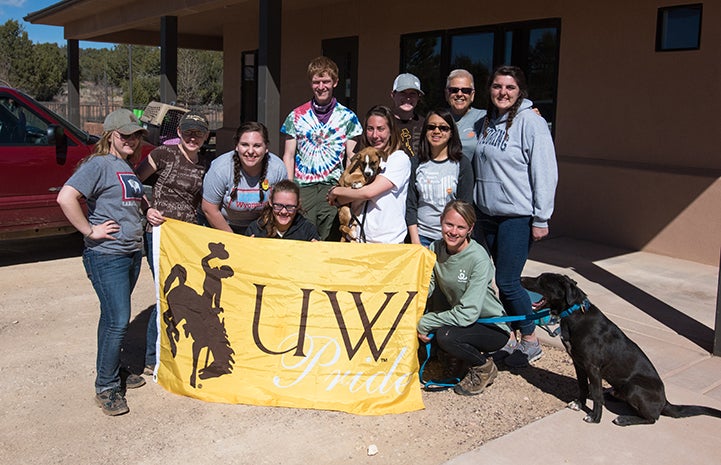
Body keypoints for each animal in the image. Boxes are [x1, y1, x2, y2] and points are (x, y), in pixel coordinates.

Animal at [524, 274, 720, 426]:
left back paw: (624, 419)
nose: (521, 278)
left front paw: (595, 417)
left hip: (634, 387)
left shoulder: (592, 367)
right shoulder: (578, 362)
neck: (574, 314)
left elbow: (596, 394)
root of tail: (665, 402)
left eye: (541, 280)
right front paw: (579, 404)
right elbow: (583, 386)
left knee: (653, 418)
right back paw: (613, 394)